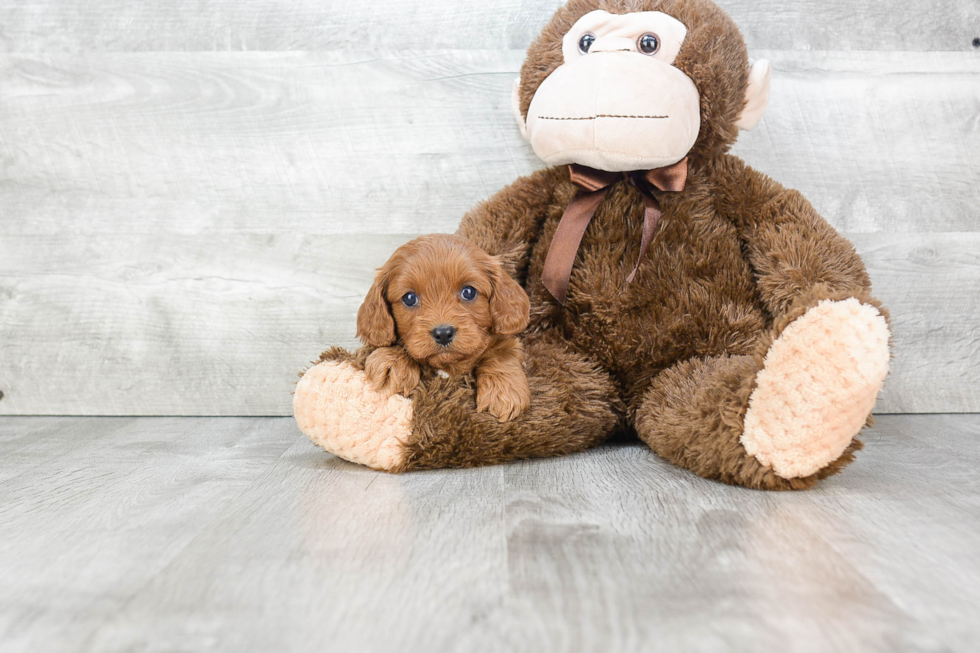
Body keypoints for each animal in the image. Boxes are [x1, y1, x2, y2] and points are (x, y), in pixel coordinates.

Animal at [356, 234, 532, 422]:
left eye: (468, 292)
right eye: (409, 298)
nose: (443, 333)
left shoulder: (507, 340)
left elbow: (501, 353)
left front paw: (503, 391)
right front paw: (393, 362)